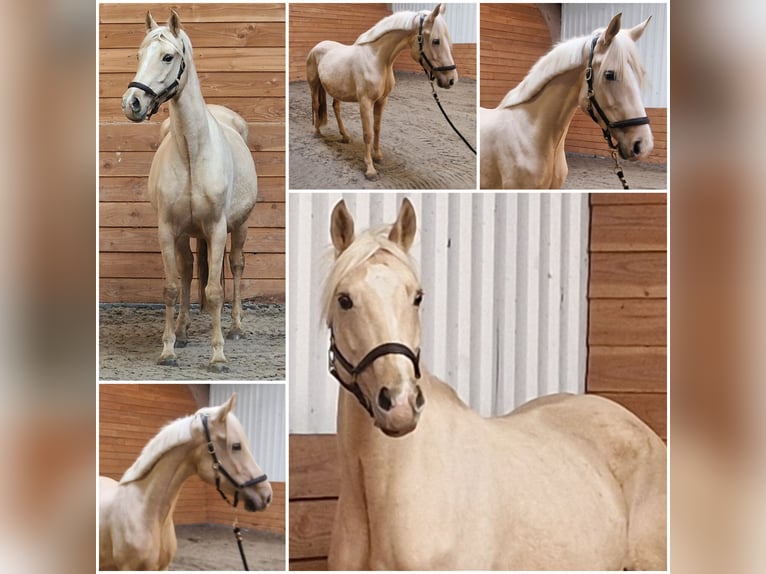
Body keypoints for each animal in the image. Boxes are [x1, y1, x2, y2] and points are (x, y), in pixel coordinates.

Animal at [121, 10, 258, 370]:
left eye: (168, 56)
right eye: (139, 55)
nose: (132, 103)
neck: (192, 153)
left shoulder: (217, 228)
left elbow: (214, 292)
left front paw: (218, 356)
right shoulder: (169, 229)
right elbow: (172, 287)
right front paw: (168, 349)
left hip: (239, 227)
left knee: (236, 267)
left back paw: (235, 327)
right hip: (187, 234)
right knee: (186, 272)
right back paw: (182, 331)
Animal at [307, 3, 458, 180]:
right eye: (436, 41)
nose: (451, 80)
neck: (378, 60)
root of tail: (317, 47)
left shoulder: (382, 100)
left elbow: (377, 128)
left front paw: (378, 156)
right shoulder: (365, 102)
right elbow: (367, 133)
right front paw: (370, 169)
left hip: (337, 90)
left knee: (336, 108)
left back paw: (345, 136)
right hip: (314, 85)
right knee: (316, 106)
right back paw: (317, 132)